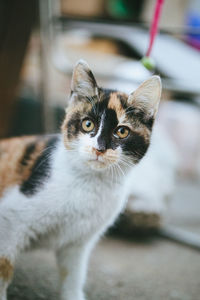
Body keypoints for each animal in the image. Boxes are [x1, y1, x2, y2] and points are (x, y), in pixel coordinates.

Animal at [0, 59, 161, 298]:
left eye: (122, 131)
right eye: (88, 124)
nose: (99, 148)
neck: (91, 182)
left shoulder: (78, 244)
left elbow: (73, 275)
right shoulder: (10, 222)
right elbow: (4, 269)